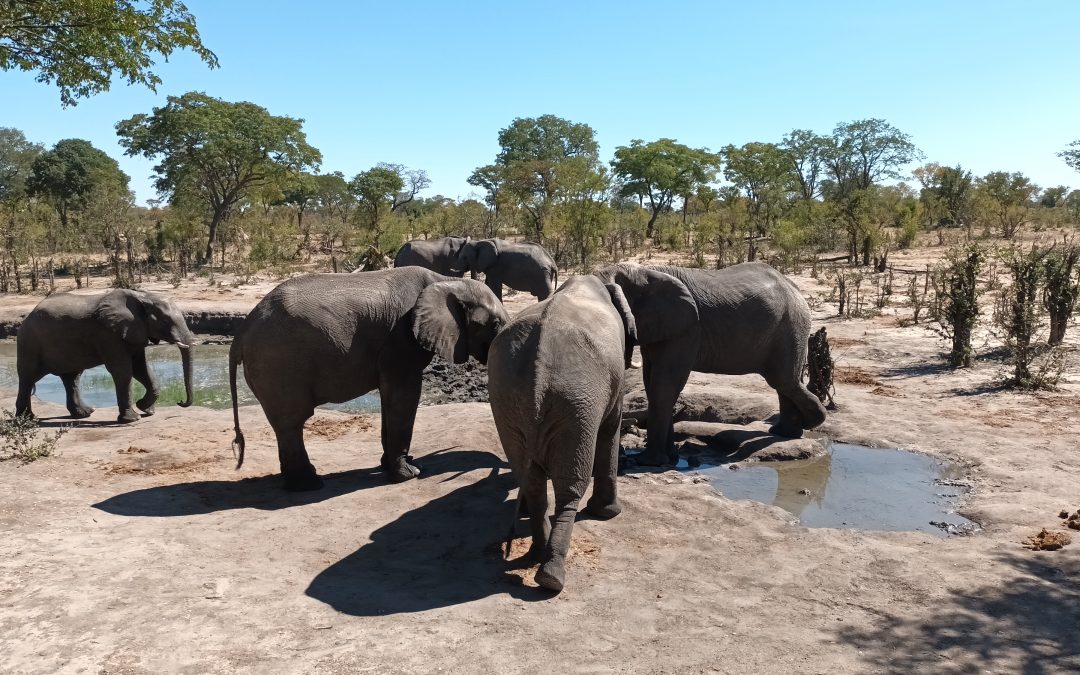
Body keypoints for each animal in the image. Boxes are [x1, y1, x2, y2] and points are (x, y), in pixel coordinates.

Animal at [15, 289, 194, 423]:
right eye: (165, 321)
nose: (180, 402)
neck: (143, 296)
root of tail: (28, 315)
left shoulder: (133, 332)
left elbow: (141, 369)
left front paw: (146, 409)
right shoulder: (109, 334)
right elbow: (123, 371)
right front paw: (133, 419)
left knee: (71, 378)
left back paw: (84, 414)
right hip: (29, 343)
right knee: (28, 378)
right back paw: (26, 420)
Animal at [229, 267, 508, 491]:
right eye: (494, 324)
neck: (446, 281)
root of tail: (241, 333)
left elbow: (389, 396)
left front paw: (394, 465)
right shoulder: (400, 339)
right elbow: (404, 394)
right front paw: (410, 474)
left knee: (287, 424)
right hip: (278, 364)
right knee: (292, 422)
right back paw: (310, 486)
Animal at [487, 274, 641, 592]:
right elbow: (610, 428)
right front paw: (609, 514)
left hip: (507, 400)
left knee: (532, 481)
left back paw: (537, 556)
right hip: (576, 402)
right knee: (570, 485)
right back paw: (551, 577)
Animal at [595, 261, 827, 465]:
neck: (639, 272)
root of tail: (793, 286)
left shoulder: (687, 329)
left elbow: (664, 386)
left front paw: (649, 462)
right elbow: (652, 384)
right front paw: (671, 458)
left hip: (791, 324)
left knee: (783, 380)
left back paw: (810, 422)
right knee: (783, 382)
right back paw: (785, 432)